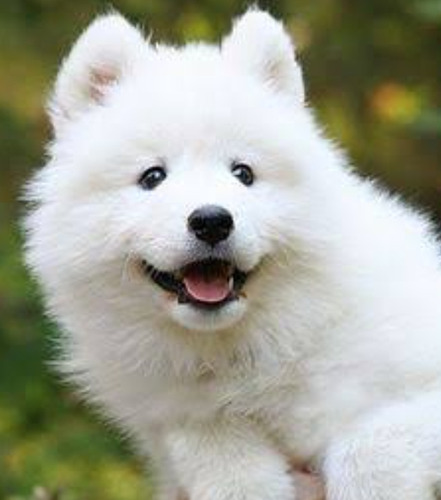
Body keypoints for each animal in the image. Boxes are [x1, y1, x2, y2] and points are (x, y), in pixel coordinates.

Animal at [24, 7, 441, 500]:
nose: (211, 221)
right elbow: (225, 462)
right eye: (152, 177)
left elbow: (370, 446)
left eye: (243, 173)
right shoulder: (183, 418)